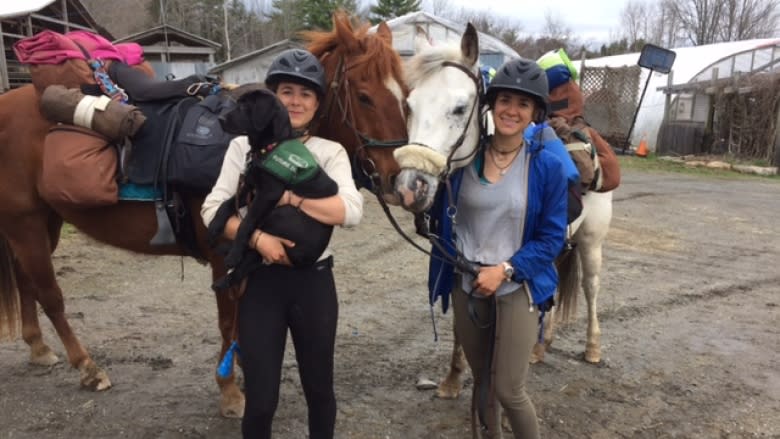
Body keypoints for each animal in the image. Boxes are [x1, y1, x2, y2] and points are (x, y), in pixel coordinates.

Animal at [207, 88, 338, 292]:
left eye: (244, 107)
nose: (220, 119)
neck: (267, 148)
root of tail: (302, 261)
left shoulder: (268, 194)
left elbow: (246, 223)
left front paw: (235, 254)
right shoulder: (249, 188)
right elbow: (225, 204)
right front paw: (214, 225)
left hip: (280, 214)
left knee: (254, 251)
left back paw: (230, 254)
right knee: (253, 259)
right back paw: (224, 276)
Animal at [396, 24, 616, 402]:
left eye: (459, 108)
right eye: (409, 104)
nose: (412, 187)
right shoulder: (459, 259)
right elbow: (462, 319)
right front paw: (453, 379)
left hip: (591, 243)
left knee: (591, 288)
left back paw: (592, 347)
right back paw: (541, 346)